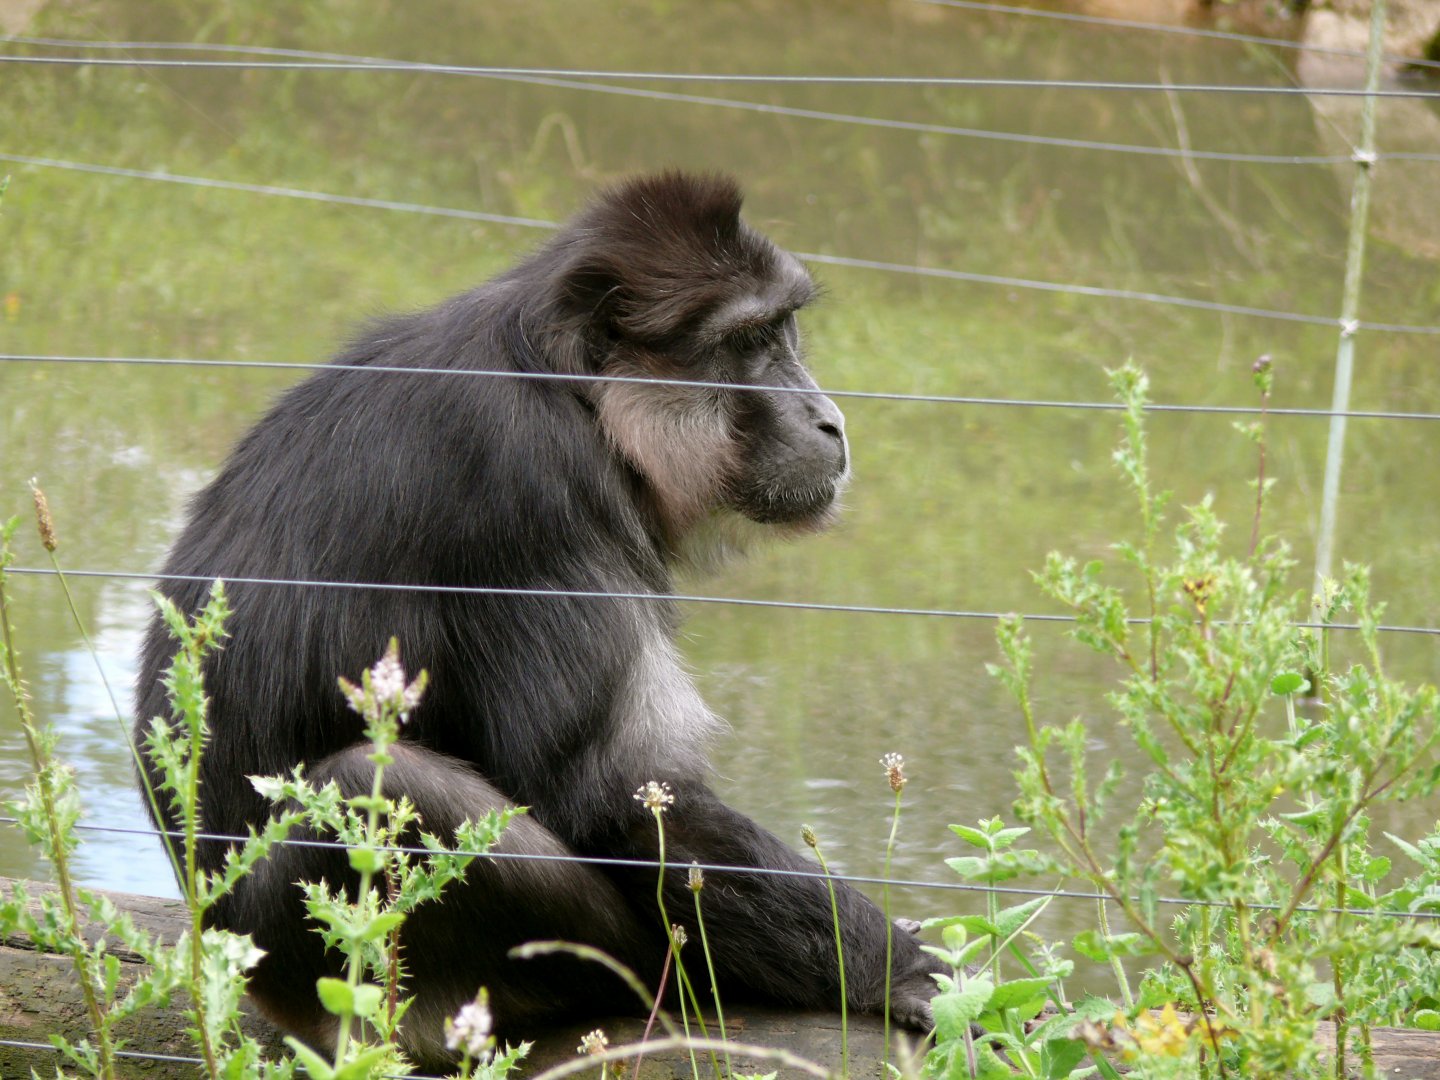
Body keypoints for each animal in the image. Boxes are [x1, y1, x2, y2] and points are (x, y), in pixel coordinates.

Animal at [133, 172, 941, 1066]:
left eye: (785, 329)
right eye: (749, 341)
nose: (825, 415)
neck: (572, 390)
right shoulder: (533, 482)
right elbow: (616, 797)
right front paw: (893, 968)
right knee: (389, 787)